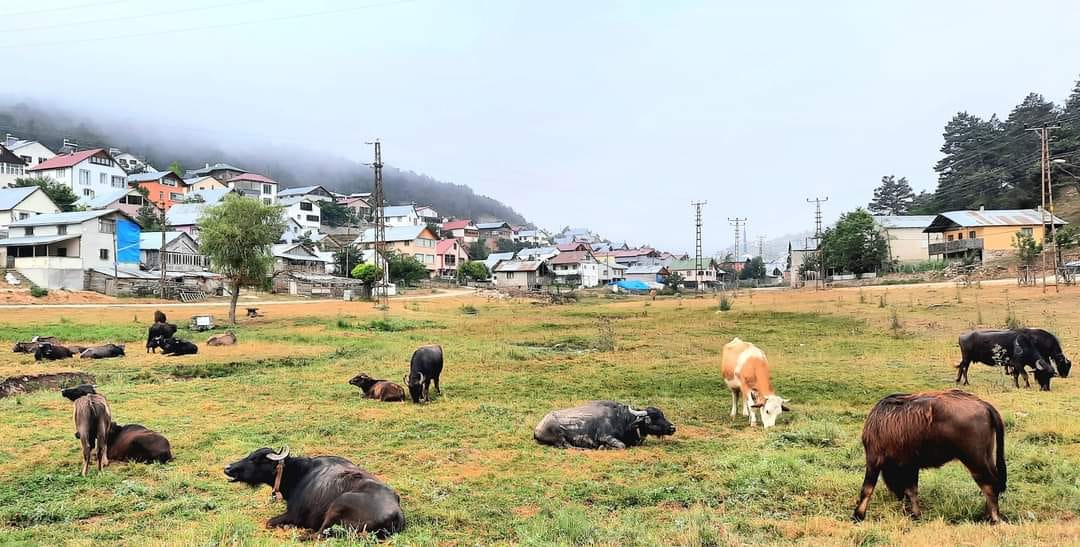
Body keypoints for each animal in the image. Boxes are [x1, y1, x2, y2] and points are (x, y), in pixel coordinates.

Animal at [223, 449, 406, 538]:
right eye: (250, 455)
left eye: (256, 459)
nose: (228, 468)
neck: (299, 473)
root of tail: (397, 513)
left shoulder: (293, 514)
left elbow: (269, 522)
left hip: (337, 506)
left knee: (319, 534)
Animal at [533, 402, 673, 449]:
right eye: (654, 418)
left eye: (662, 415)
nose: (673, 428)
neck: (622, 420)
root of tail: (537, 428)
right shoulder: (605, 437)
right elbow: (621, 446)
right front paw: (603, 447)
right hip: (559, 437)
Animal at [851, 391, 1002, 523]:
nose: (898, 496)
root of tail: (983, 405)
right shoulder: (911, 466)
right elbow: (912, 490)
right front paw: (915, 513)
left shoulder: (874, 460)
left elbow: (867, 489)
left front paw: (858, 515)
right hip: (987, 457)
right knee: (993, 482)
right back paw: (987, 514)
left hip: (974, 460)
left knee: (989, 485)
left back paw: (994, 518)